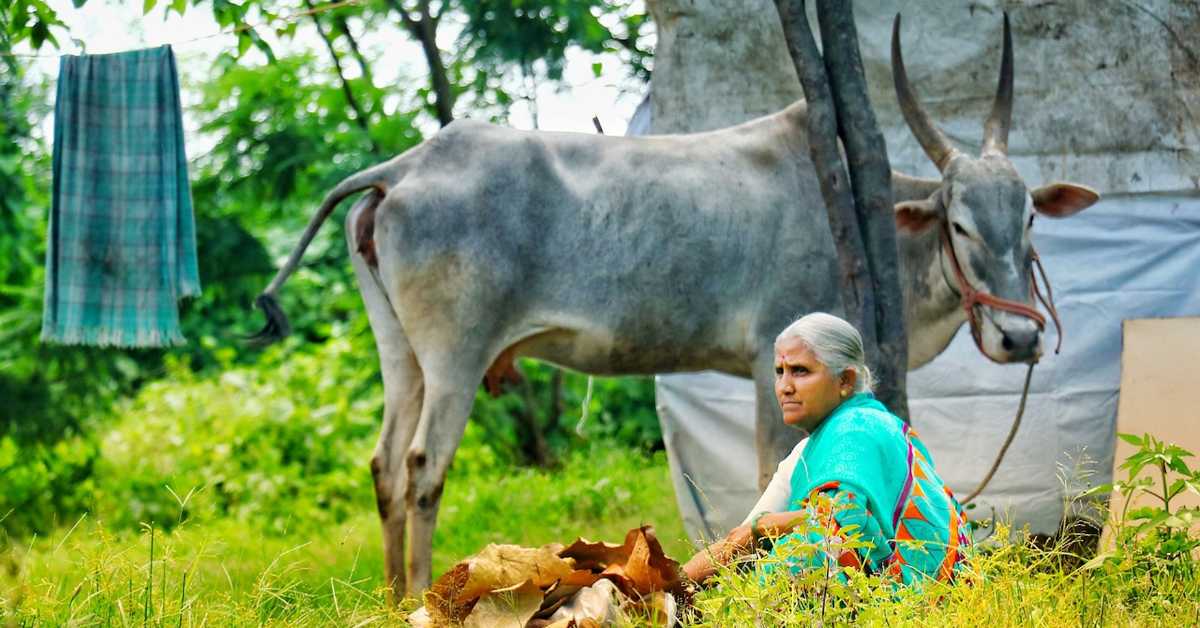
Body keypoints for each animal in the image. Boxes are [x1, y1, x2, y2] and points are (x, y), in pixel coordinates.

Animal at [253, 12, 1099, 597]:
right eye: (959, 223)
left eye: (1029, 217)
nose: (1020, 339)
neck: (872, 213)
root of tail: (405, 166)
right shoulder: (768, 360)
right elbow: (767, 473)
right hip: (454, 352)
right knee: (424, 466)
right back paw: (422, 594)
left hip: (402, 354)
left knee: (384, 464)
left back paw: (392, 593)